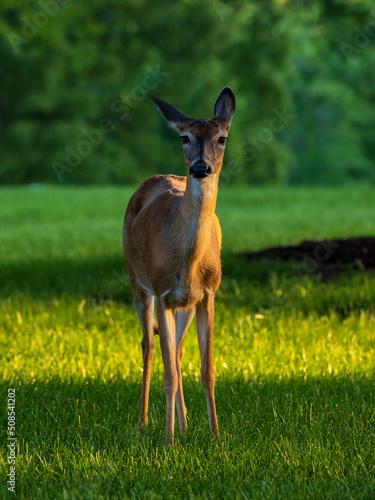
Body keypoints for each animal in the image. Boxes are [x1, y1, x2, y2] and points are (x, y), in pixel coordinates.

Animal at [122, 87, 235, 446]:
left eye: (222, 138)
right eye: (184, 137)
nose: (200, 168)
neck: (188, 263)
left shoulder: (208, 293)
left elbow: (207, 369)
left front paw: (214, 435)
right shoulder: (162, 291)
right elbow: (168, 372)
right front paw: (168, 441)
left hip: (184, 304)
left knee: (179, 350)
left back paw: (185, 424)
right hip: (137, 282)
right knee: (149, 345)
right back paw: (144, 422)